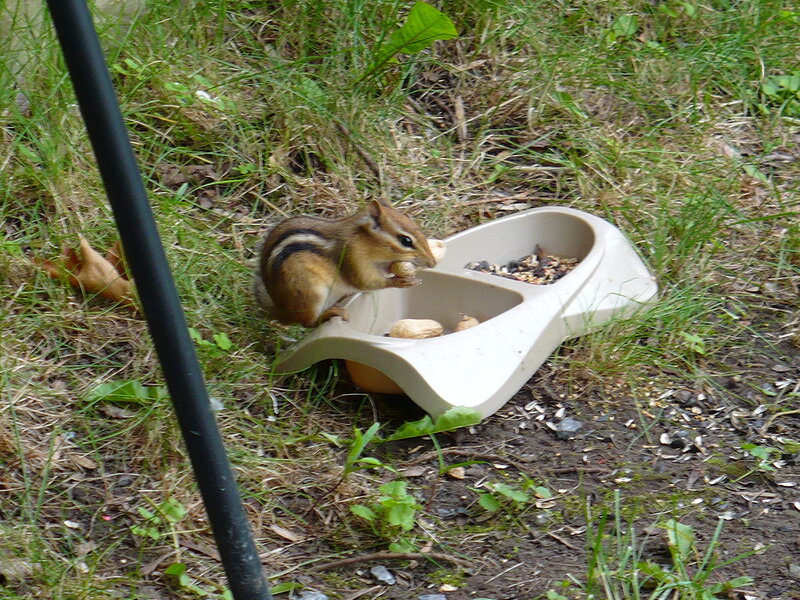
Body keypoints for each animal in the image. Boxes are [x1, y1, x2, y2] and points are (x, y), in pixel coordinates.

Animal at [253, 200, 436, 327]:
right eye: (406, 240)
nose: (432, 263)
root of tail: (283, 313)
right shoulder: (352, 259)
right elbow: (365, 282)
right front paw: (401, 281)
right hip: (310, 293)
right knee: (308, 323)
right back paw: (330, 314)